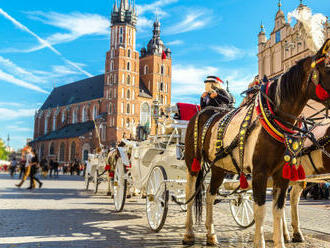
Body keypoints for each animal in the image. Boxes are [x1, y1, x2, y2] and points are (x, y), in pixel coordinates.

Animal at [183, 39, 330, 248]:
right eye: (329, 67)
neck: (275, 119)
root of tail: (205, 110)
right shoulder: (260, 172)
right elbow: (260, 211)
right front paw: (260, 242)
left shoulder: (281, 174)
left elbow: (278, 210)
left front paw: (280, 241)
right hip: (192, 161)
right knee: (190, 191)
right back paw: (188, 233)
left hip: (219, 166)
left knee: (210, 195)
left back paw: (211, 235)